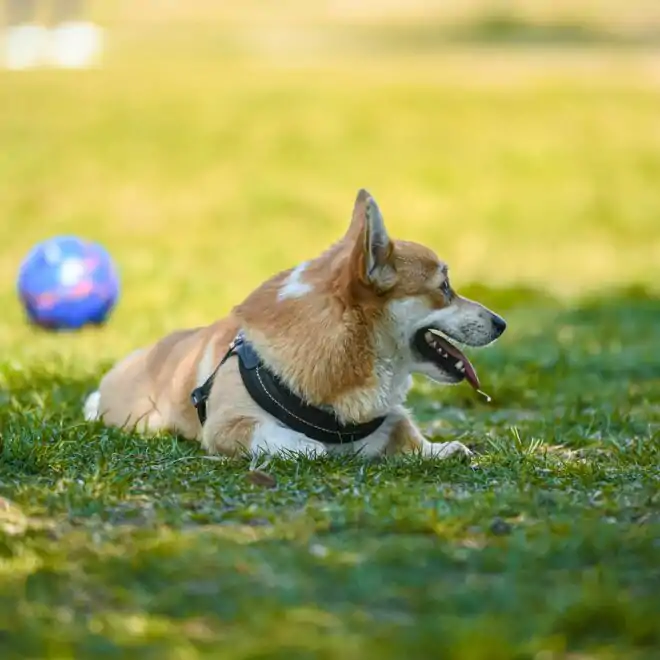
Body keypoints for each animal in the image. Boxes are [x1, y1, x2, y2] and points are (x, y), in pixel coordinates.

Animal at [84, 189, 506, 458]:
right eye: (445, 288)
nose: (501, 323)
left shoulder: (392, 417)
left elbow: (406, 430)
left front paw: (442, 448)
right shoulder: (227, 425)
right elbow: (301, 444)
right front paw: (317, 447)